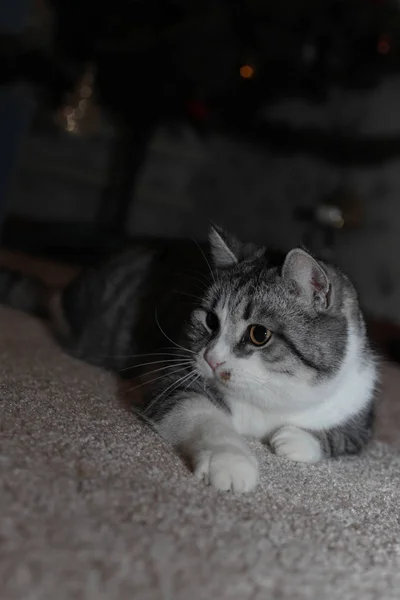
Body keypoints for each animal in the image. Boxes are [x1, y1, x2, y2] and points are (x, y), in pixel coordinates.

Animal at [0, 225, 378, 492]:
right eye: (210, 320)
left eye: (259, 334)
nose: (211, 358)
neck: (266, 401)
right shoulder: (175, 380)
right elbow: (204, 417)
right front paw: (232, 463)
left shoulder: (359, 405)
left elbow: (342, 436)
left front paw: (292, 439)